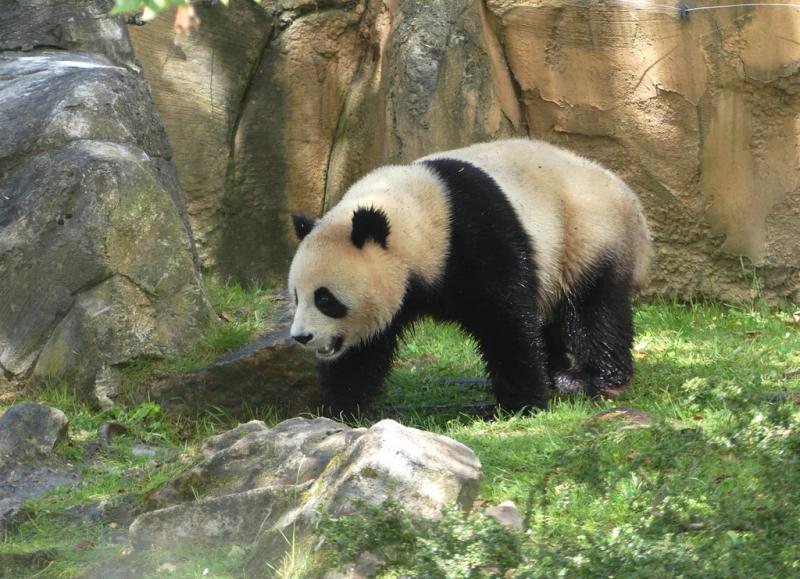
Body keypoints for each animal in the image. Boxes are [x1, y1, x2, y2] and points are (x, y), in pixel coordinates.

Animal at [288, 139, 652, 417]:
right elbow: (362, 351)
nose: (301, 337)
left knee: (595, 309)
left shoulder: (477, 237)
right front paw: (340, 410)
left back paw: (595, 379)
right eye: (296, 296)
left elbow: (506, 319)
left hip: (587, 235)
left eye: (325, 299)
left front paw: (520, 404)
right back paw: (557, 372)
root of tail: (629, 196)